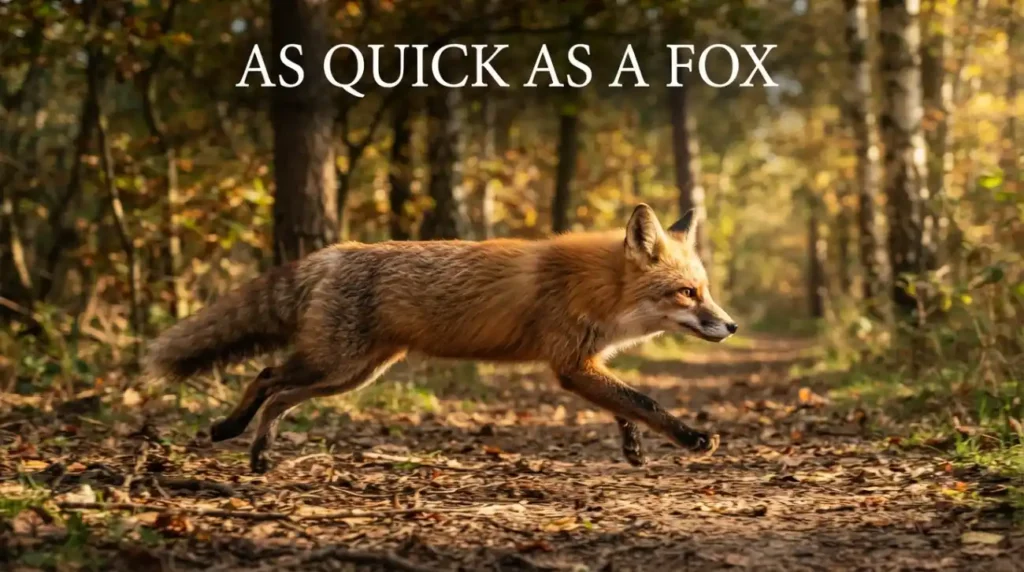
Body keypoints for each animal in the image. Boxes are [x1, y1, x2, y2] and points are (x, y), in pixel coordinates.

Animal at [145, 204, 738, 473]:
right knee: (267, 376)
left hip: (352, 376)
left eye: (705, 291)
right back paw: (239, 434)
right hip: (335, 364)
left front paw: (633, 447)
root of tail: (333, 252)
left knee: (277, 392)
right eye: (687, 293)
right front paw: (691, 438)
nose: (731, 326)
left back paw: (248, 441)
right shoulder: (571, 366)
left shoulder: (587, 363)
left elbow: (625, 406)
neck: (599, 288)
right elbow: (645, 401)